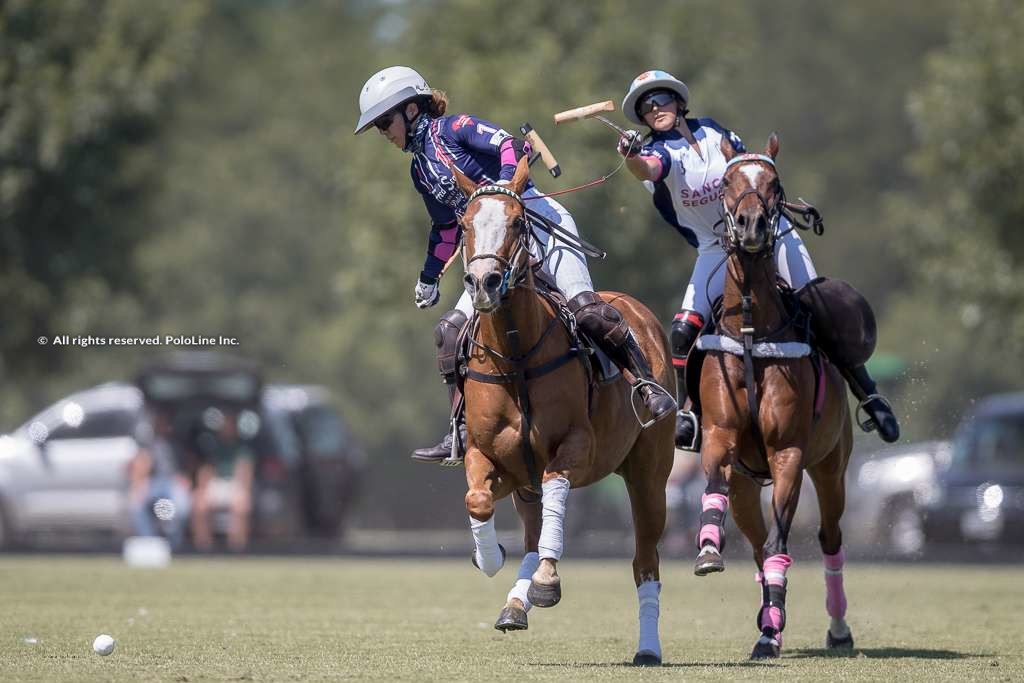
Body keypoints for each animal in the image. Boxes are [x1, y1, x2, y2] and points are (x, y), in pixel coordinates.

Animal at [452, 156, 675, 667]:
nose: (483, 284)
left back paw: (648, 647)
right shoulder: (490, 457)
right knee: (532, 536)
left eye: (518, 222)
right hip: (528, 486)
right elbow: (477, 499)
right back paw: (515, 603)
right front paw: (489, 556)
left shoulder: (574, 447)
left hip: (650, 474)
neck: (516, 356)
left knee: (645, 561)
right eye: (464, 224)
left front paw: (546, 584)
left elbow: (558, 490)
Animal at [696, 136, 856, 659]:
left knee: (828, 537)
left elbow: (780, 544)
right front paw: (708, 548)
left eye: (774, 182)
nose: (751, 225)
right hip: (749, 484)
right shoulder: (720, 435)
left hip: (831, 466)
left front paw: (771, 628)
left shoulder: (788, 452)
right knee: (754, 539)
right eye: (727, 181)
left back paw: (834, 628)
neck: (751, 329)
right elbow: (714, 489)